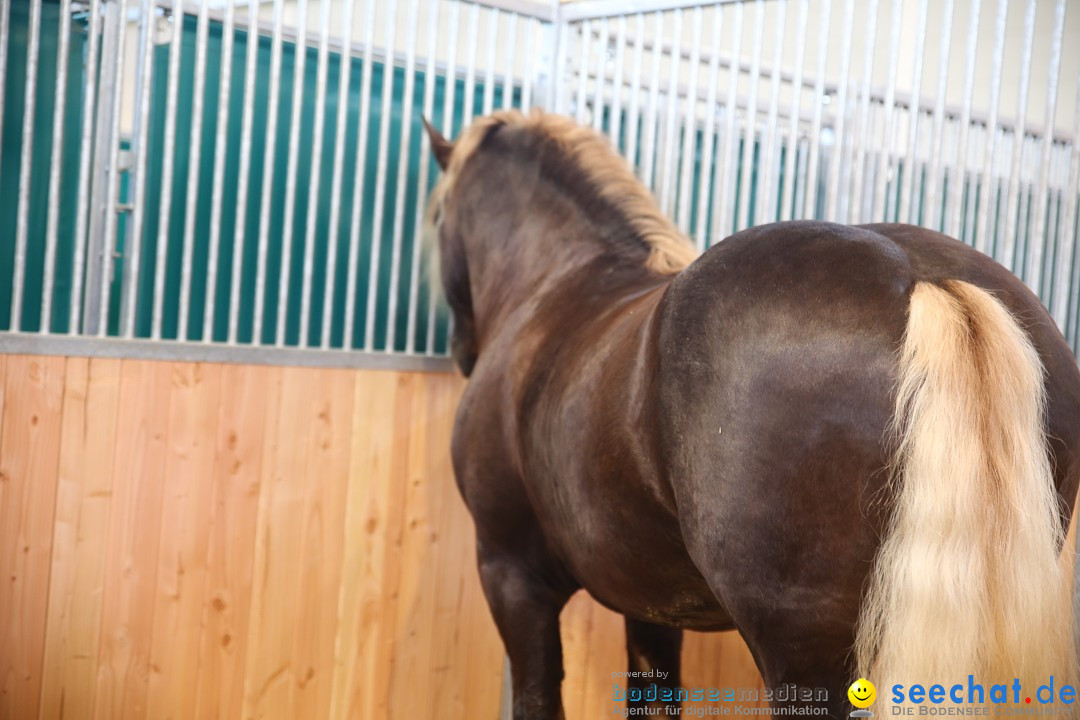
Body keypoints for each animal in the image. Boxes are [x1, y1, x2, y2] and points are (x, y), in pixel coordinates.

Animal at [419, 111, 1080, 720]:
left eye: (436, 218)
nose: (460, 351)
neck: (556, 286)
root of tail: (924, 277)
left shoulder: (512, 577)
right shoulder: (653, 600)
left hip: (803, 652)